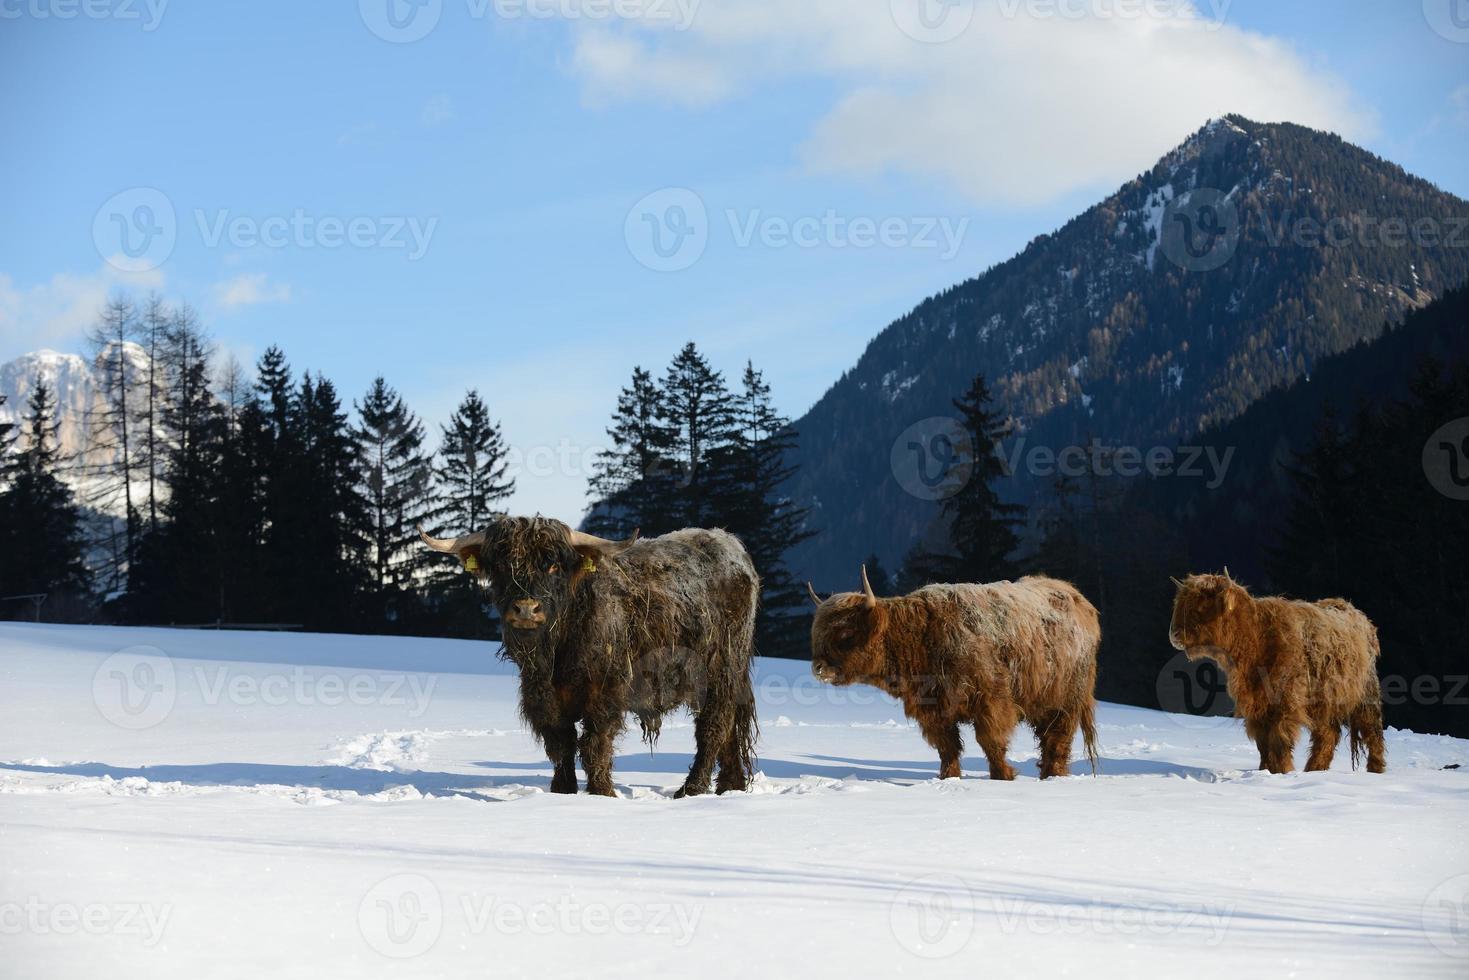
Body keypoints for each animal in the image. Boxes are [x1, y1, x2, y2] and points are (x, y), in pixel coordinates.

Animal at [417, 517, 752, 799]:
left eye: (553, 566)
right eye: (502, 567)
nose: (526, 609)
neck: (557, 651)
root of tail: (731, 545)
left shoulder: (605, 692)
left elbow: (594, 743)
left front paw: (602, 793)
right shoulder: (541, 694)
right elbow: (560, 743)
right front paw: (562, 791)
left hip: (721, 669)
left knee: (714, 725)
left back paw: (692, 789)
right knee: (729, 728)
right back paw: (731, 785)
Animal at [810, 570, 1098, 775]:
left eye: (846, 633)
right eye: (817, 634)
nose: (818, 667)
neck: (922, 636)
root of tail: (1077, 597)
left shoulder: (991, 703)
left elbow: (991, 743)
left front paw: (1003, 776)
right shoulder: (933, 711)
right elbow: (947, 749)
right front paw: (949, 778)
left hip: (1066, 702)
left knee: (1057, 742)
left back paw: (1053, 776)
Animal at [1169, 575, 1386, 775]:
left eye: (1199, 606)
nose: (1174, 634)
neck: (1255, 638)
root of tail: (1359, 616)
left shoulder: (1285, 702)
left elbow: (1279, 739)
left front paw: (1282, 771)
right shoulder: (1257, 704)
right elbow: (1263, 742)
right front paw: (1265, 770)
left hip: (1366, 694)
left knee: (1371, 731)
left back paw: (1375, 770)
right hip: (1324, 702)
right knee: (1327, 734)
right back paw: (1314, 770)